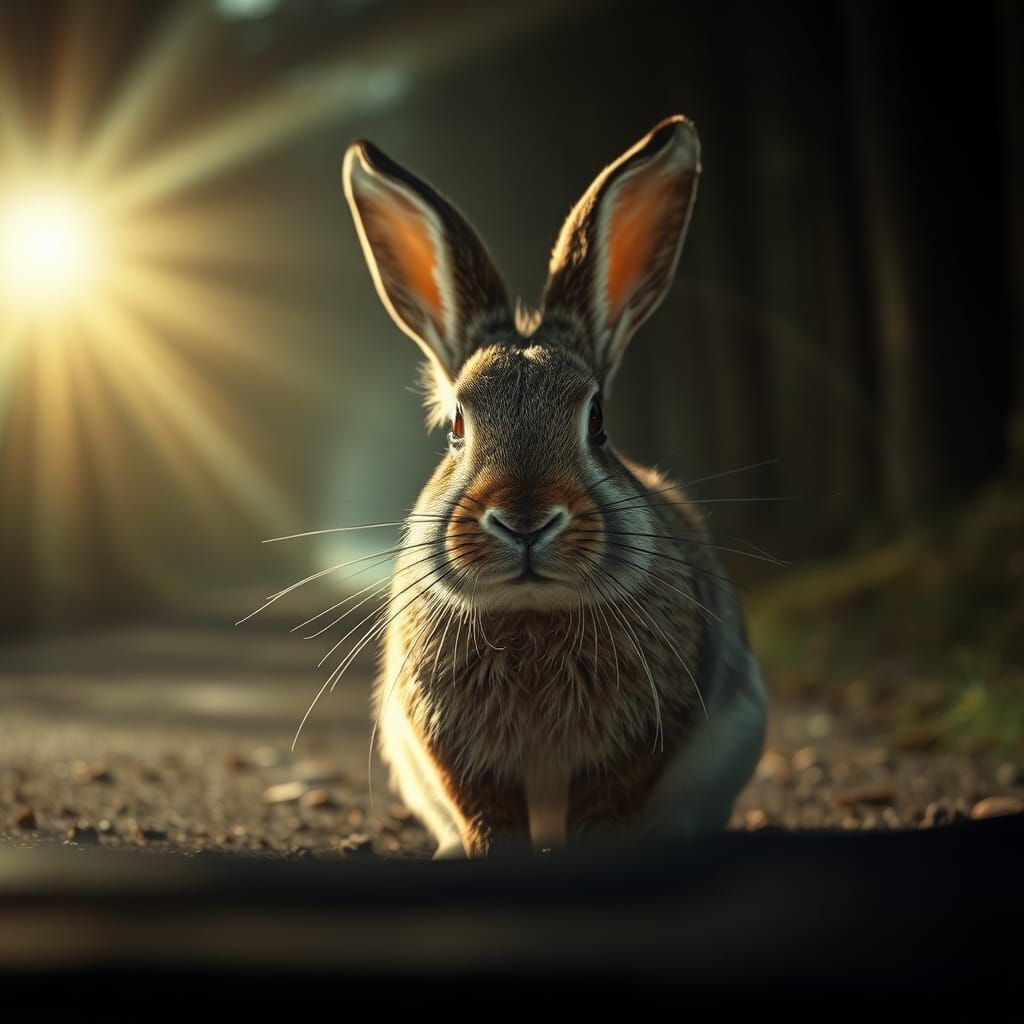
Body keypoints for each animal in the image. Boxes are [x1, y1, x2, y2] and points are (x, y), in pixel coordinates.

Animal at [342, 115, 766, 858]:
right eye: (457, 425)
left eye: (598, 421)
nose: (526, 521)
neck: (532, 610)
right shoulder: (457, 752)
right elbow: (485, 811)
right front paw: (486, 855)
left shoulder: (634, 745)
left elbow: (605, 805)